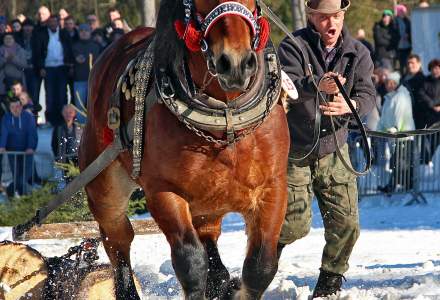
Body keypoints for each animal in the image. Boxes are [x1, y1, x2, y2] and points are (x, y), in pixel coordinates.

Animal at [80, 0, 288, 300]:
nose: (235, 63)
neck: (225, 119)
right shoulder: (163, 191)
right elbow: (191, 262)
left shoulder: (272, 187)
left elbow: (261, 265)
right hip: (104, 186)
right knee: (117, 238)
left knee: (209, 236)